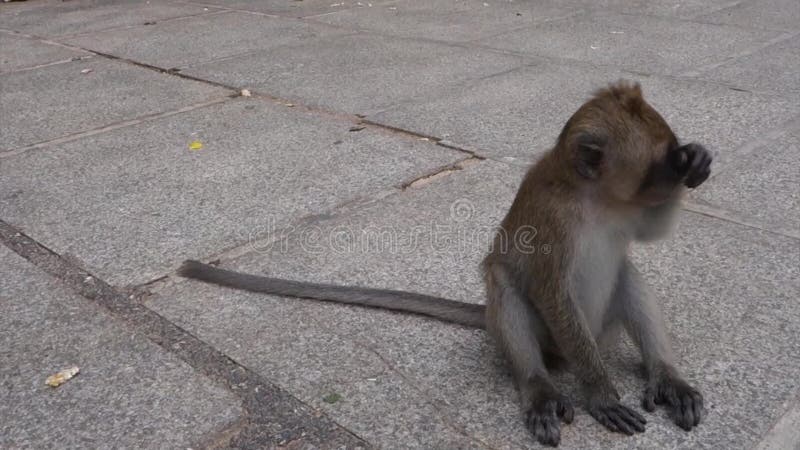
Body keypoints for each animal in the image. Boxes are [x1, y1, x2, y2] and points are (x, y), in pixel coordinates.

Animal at [180, 81, 708, 446]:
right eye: (659, 164)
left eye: (671, 155)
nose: (681, 166)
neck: (595, 199)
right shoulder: (554, 223)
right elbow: (551, 293)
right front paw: (600, 394)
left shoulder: (626, 211)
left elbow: (651, 233)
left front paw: (700, 160)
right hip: (555, 343)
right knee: (506, 288)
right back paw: (538, 388)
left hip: (606, 331)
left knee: (628, 275)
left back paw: (666, 376)